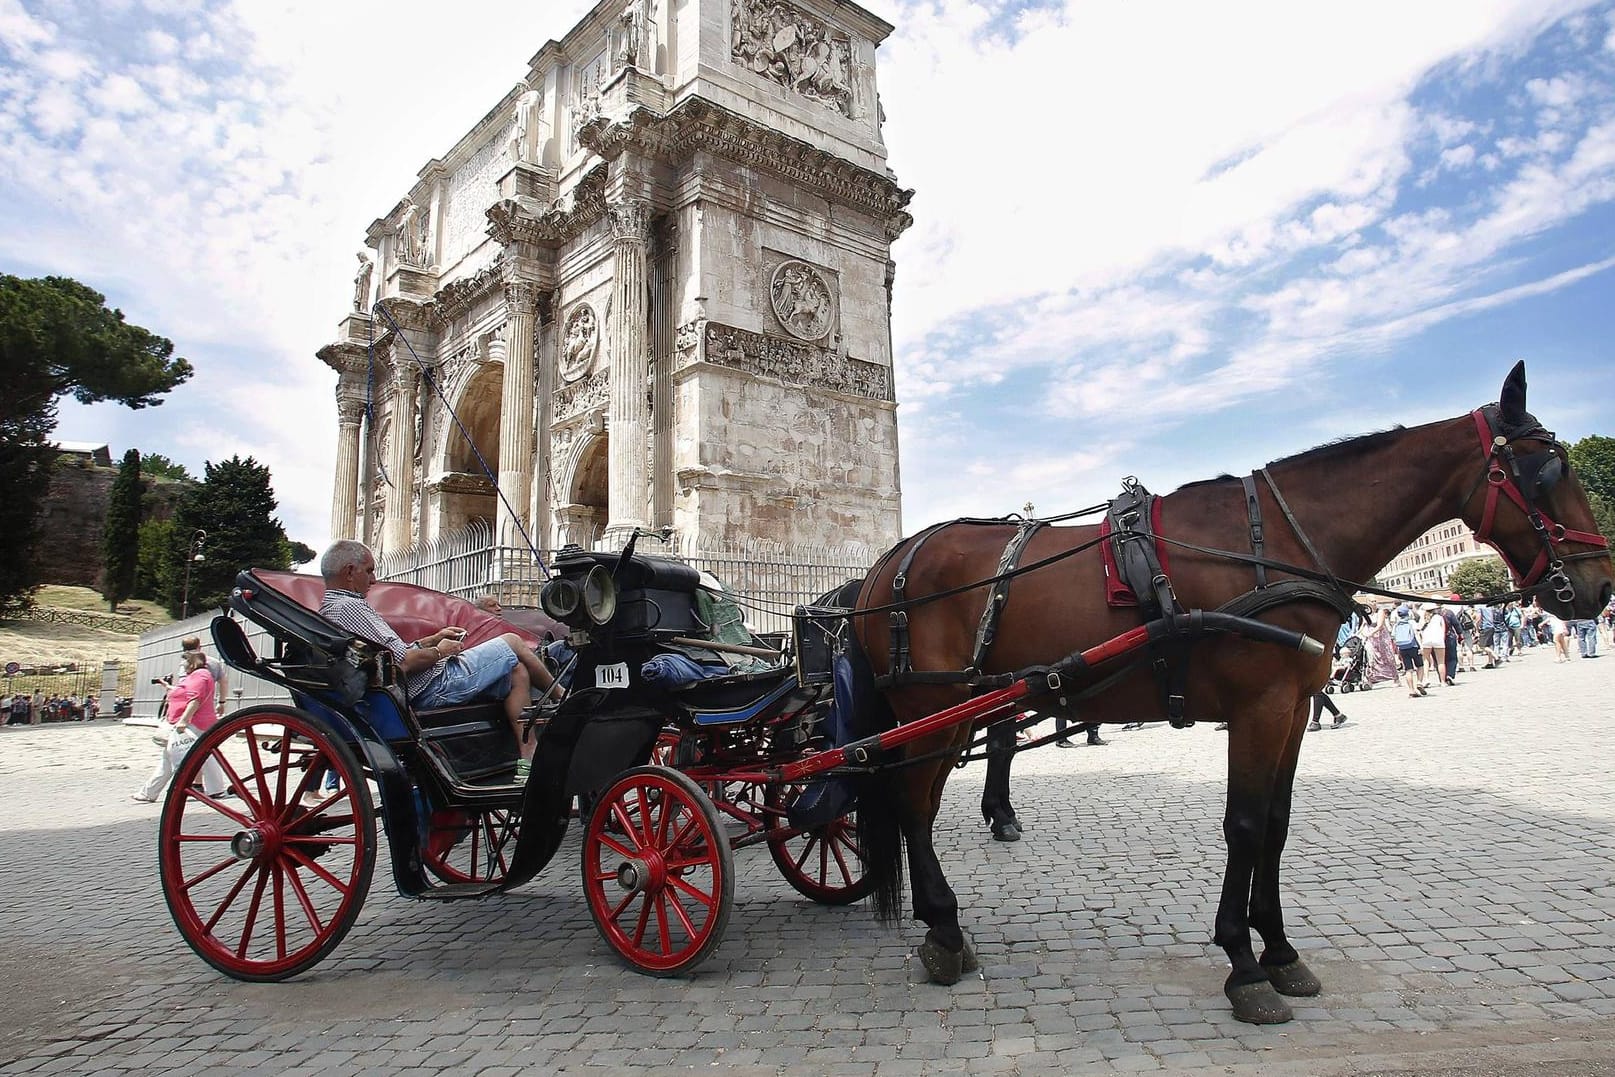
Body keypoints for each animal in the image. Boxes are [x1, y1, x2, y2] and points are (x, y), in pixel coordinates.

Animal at [839, 364, 1608, 1026]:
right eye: (1547, 471)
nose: (1597, 585)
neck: (1277, 546)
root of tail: (886, 562)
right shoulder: (1258, 706)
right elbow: (1242, 825)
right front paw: (1244, 964)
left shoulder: (1292, 708)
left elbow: (1275, 823)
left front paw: (1282, 951)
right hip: (927, 711)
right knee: (912, 806)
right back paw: (943, 928)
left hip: (955, 710)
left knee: (918, 801)